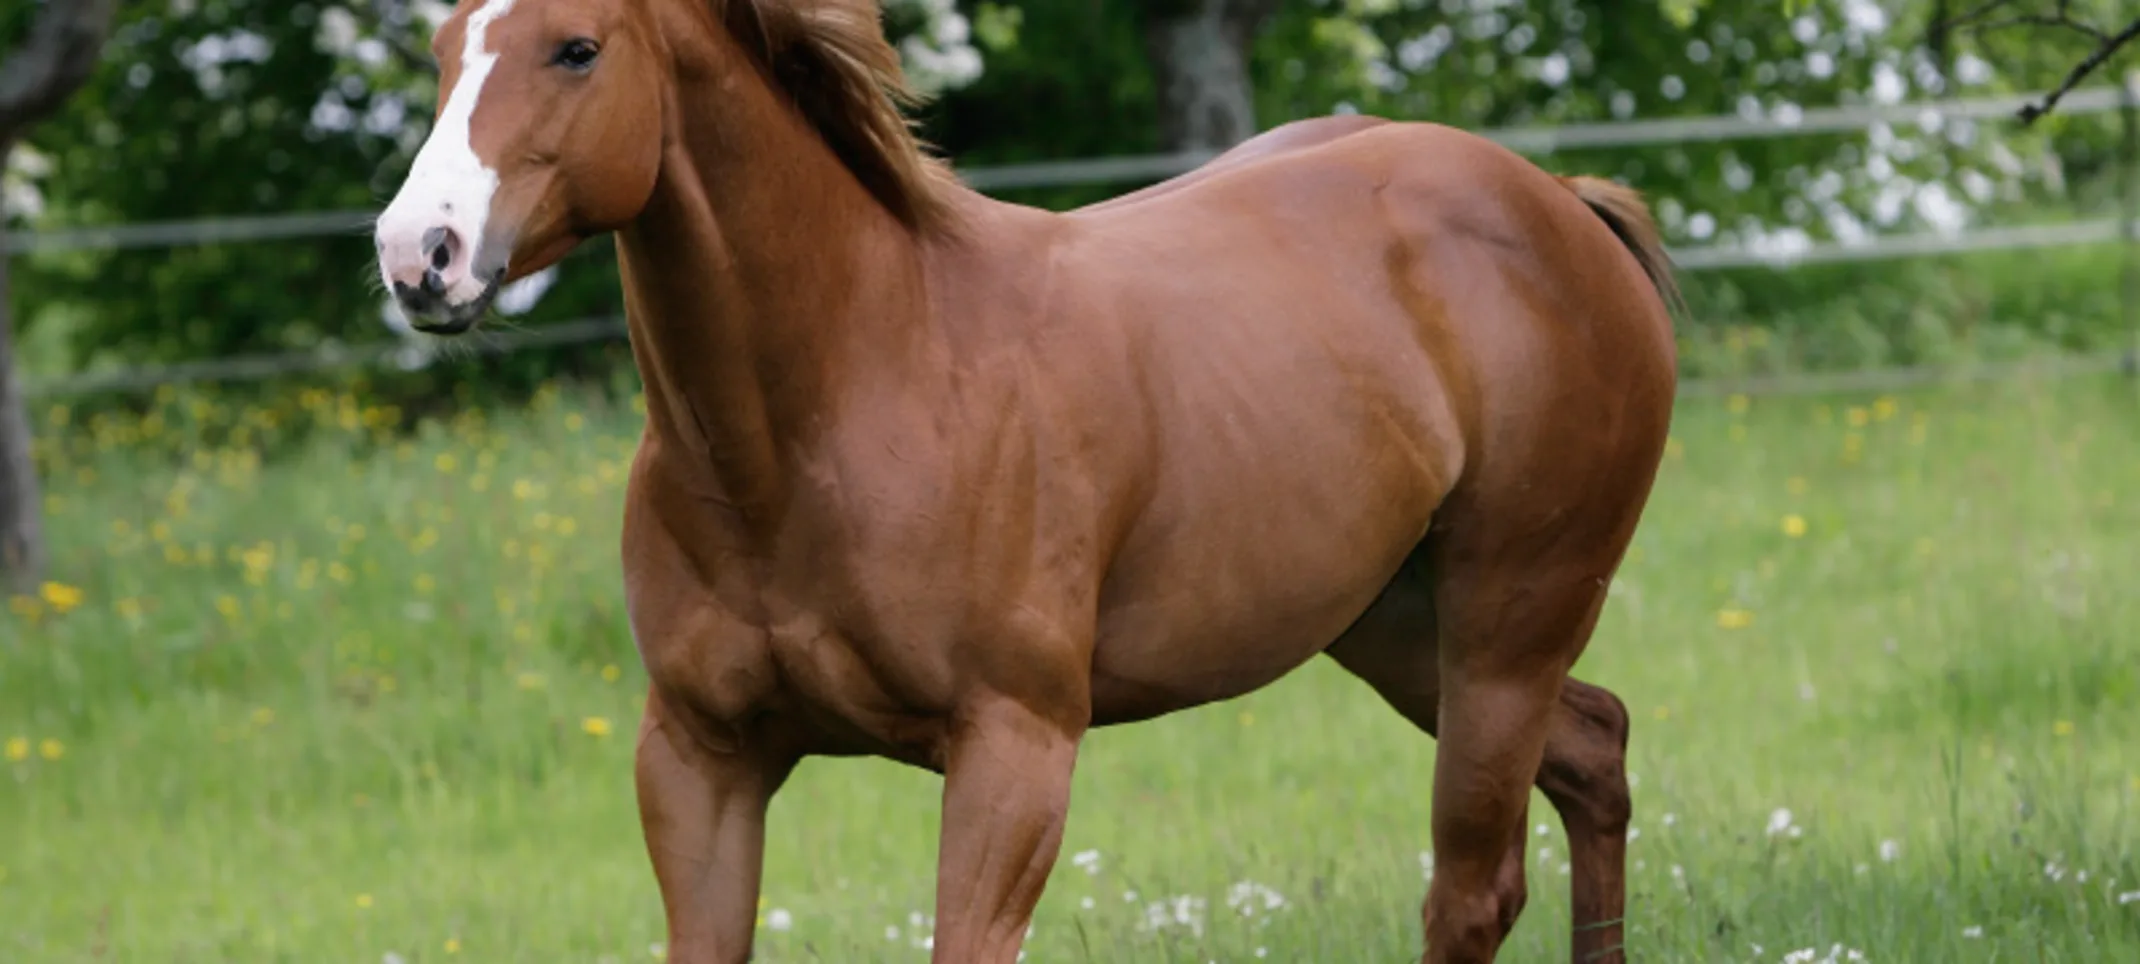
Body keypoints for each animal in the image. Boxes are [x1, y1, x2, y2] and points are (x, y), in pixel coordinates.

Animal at [371, 2, 1680, 962]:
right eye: (440, 51)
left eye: (576, 47)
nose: (417, 256)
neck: (842, 403)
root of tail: (1561, 204)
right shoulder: (701, 758)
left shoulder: (1013, 751)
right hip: (1399, 631)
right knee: (1596, 749)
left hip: (1506, 625)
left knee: (1474, 890)